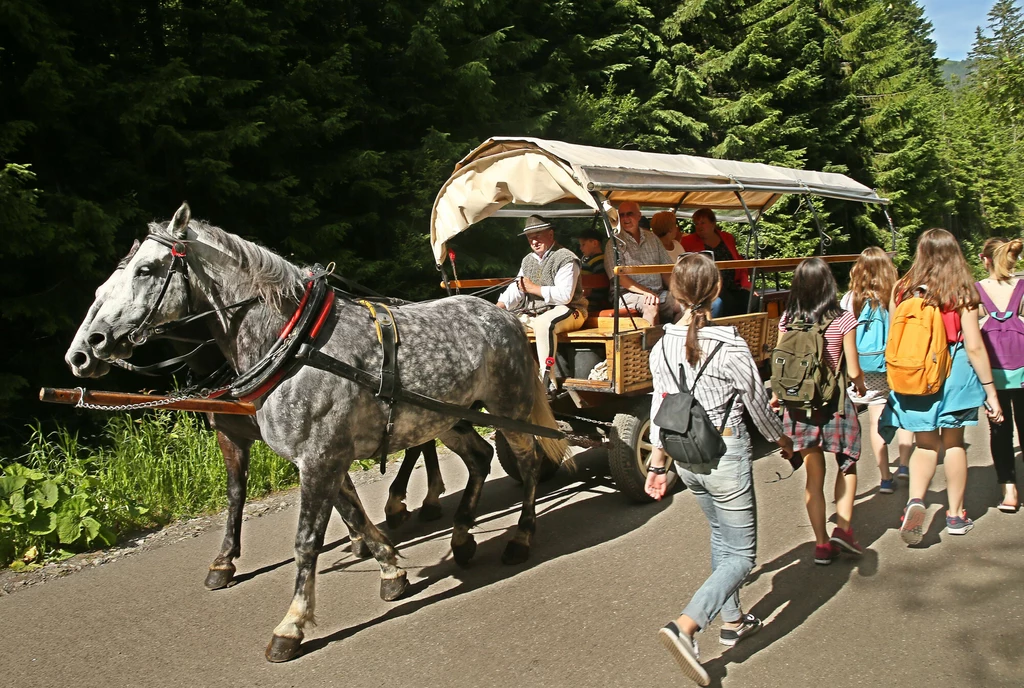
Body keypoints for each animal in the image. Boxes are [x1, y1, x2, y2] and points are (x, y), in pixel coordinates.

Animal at [66, 254, 446, 589]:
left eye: (139, 276)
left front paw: (365, 541)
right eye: (98, 293)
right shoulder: (232, 433)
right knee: (425, 440)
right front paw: (223, 561)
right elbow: (237, 493)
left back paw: (410, 502)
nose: (80, 355)